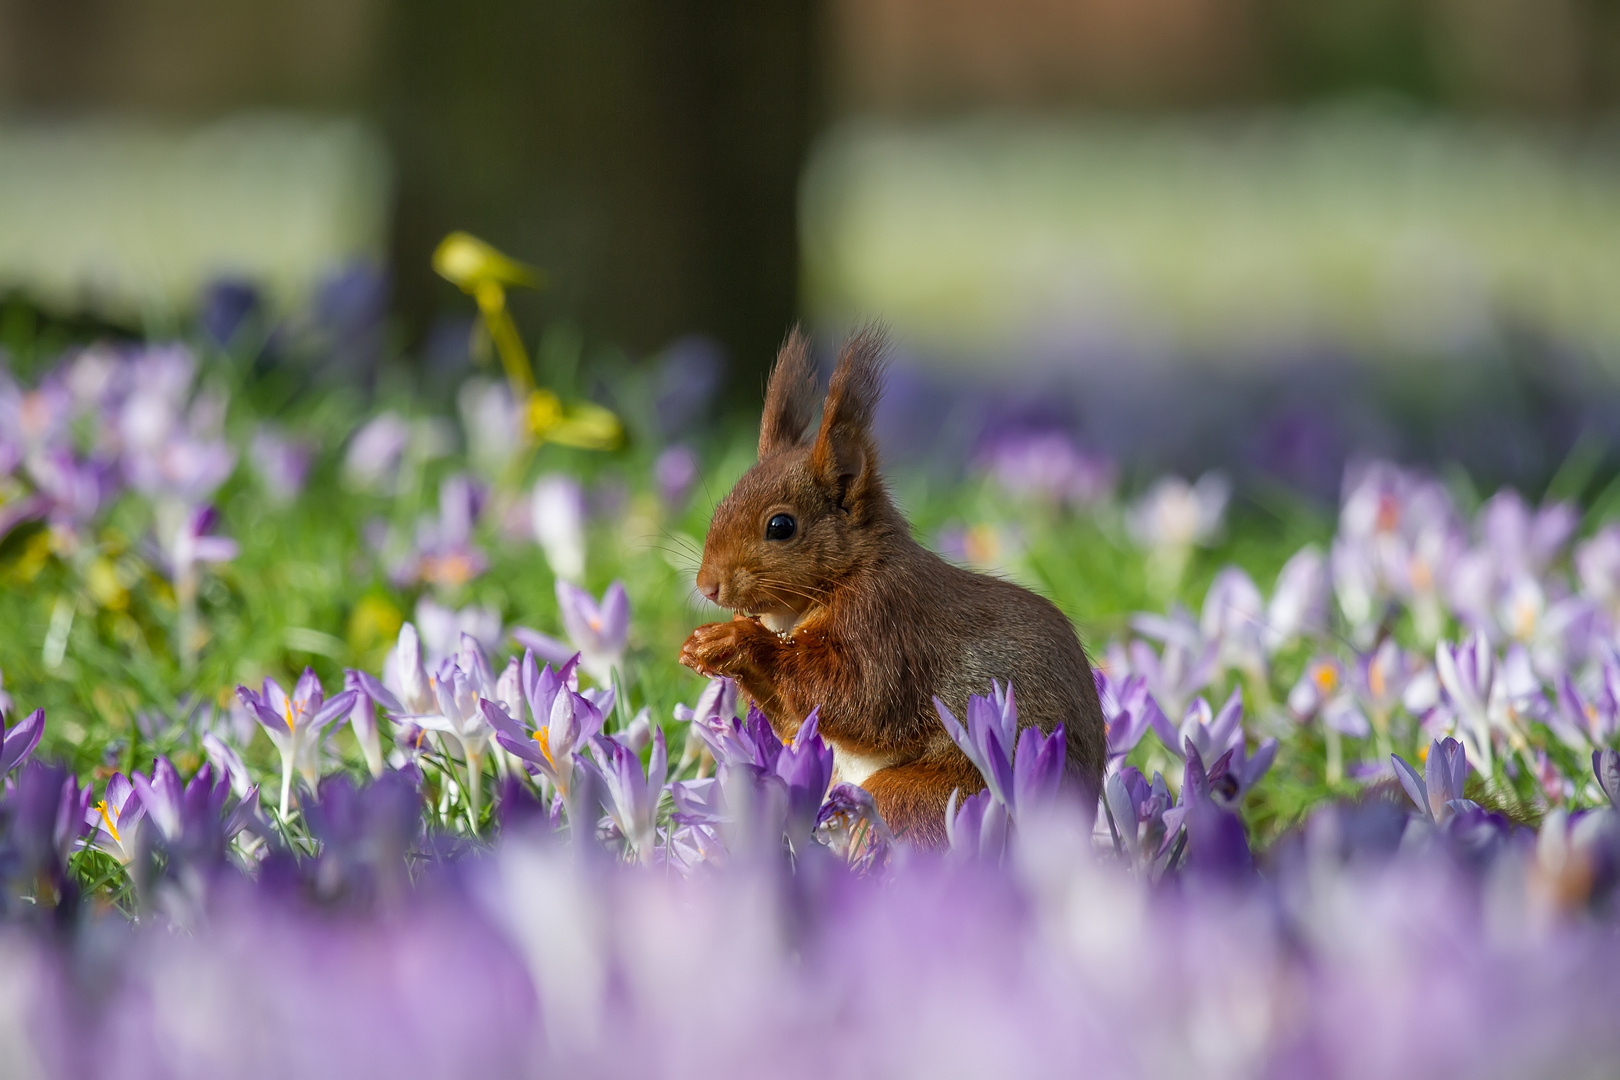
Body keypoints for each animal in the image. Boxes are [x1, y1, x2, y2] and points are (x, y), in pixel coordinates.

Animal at [677, 330, 1108, 841]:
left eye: (781, 526)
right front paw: (702, 645)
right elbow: (795, 718)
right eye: (723, 504)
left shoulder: (887, 623)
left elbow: (858, 695)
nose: (708, 586)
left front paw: (734, 639)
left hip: (927, 798)